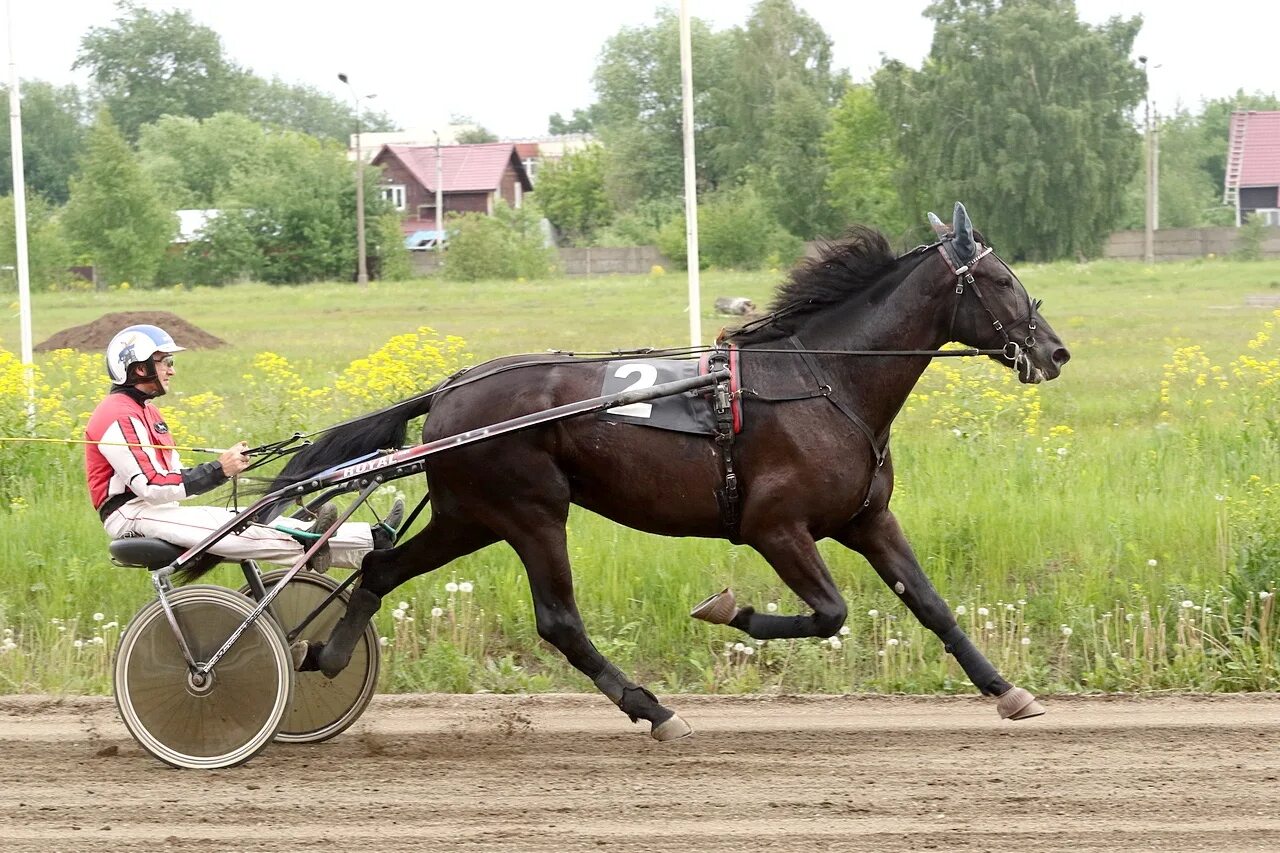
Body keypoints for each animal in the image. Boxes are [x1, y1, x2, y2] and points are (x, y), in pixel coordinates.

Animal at [267, 202, 1070, 732]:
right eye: (1001, 279)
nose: (1055, 350)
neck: (827, 379)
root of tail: (453, 387)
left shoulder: (867, 518)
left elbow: (931, 603)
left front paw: (1007, 690)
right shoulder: (775, 526)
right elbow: (830, 613)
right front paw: (728, 608)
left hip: (471, 514)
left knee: (380, 569)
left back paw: (326, 655)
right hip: (528, 512)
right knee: (559, 620)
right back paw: (652, 708)